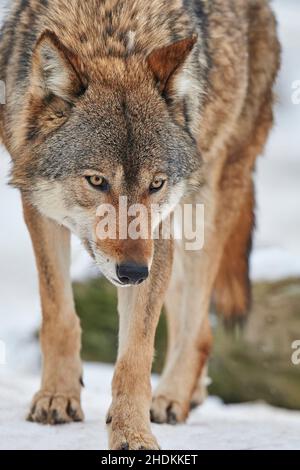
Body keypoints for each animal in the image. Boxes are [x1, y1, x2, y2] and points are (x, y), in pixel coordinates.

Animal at [1, 0, 280, 452]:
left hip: (207, 202)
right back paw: (187, 393)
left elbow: (134, 356)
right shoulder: (38, 204)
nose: (132, 272)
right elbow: (58, 314)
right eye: (97, 181)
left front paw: (132, 433)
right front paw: (57, 397)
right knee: (193, 319)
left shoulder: (159, 231)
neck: (110, 30)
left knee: (198, 328)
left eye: (155, 184)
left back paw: (171, 398)